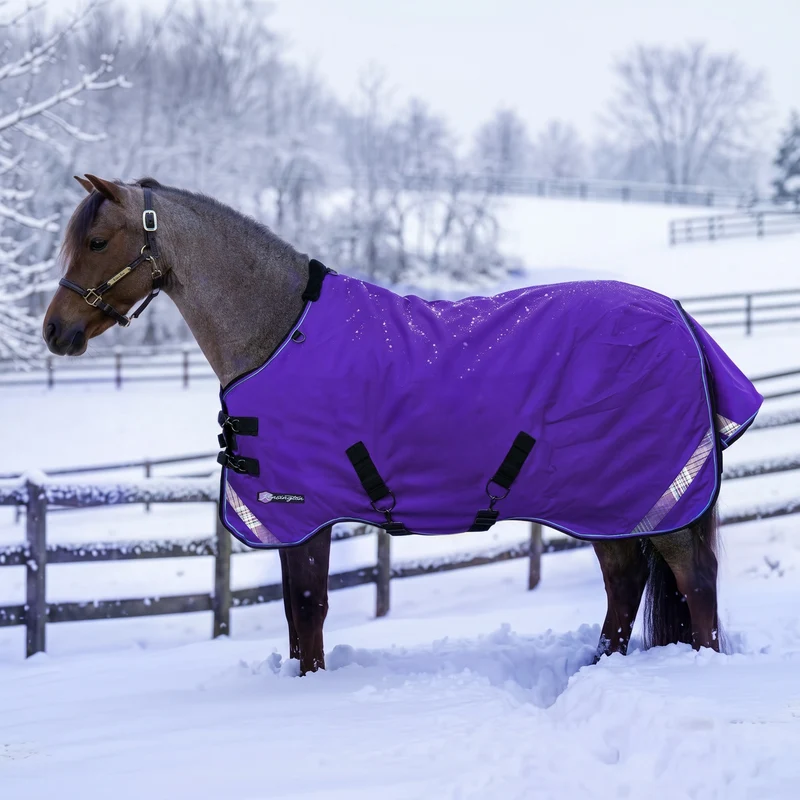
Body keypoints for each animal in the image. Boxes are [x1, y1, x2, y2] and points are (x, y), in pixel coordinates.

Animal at [43, 175, 760, 674]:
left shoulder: (305, 512)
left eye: (98, 242)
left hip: (649, 499)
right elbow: (297, 614)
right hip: (607, 503)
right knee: (624, 582)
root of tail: (680, 317)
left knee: (694, 580)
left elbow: (309, 610)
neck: (279, 331)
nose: (56, 332)